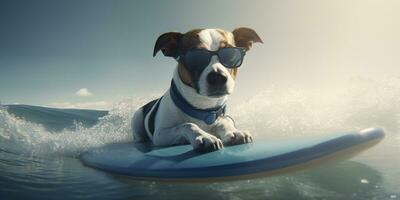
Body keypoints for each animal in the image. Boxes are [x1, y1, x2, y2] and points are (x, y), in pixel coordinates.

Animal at [131, 27, 262, 152]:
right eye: (195, 57)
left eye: (231, 55)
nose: (218, 77)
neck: (202, 109)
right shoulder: (160, 134)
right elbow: (187, 124)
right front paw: (204, 136)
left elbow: (224, 122)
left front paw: (233, 131)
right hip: (137, 119)